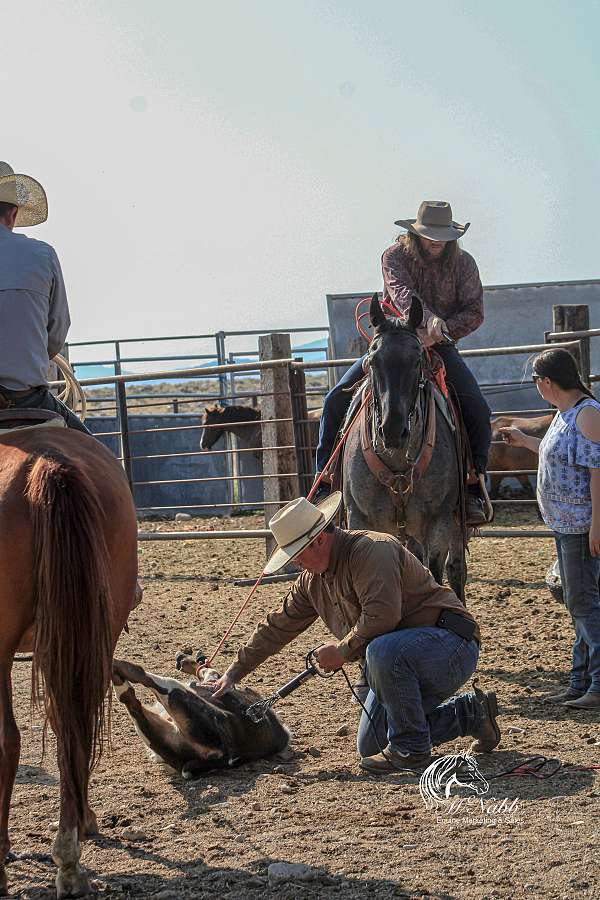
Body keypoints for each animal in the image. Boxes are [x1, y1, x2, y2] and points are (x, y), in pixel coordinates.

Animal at [113, 652, 290, 780]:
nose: (180, 657)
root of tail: (225, 754)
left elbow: (208, 670)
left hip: (176, 694)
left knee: (143, 680)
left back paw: (117, 665)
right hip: (161, 736)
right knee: (130, 700)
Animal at [344, 296, 466, 600]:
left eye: (417, 359)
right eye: (372, 361)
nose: (392, 430)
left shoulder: (438, 523)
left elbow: (434, 573)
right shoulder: (359, 520)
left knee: (456, 569)